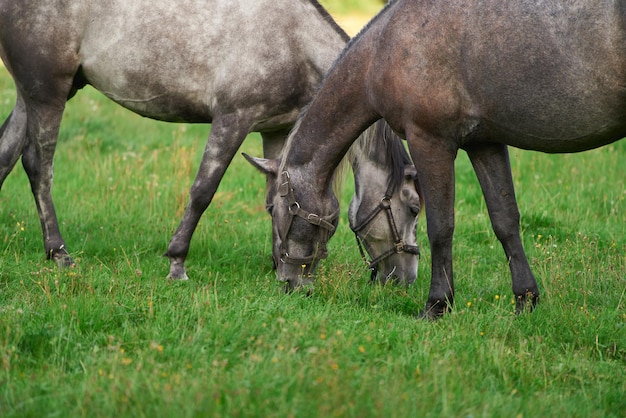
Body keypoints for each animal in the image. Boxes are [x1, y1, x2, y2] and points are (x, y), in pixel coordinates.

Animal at [0, 0, 420, 284]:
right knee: (39, 166)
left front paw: (275, 260)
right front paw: (177, 263)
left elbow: (274, 200)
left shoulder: (276, 132)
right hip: (47, 94)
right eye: (414, 208)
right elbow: (203, 191)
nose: (405, 278)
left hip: (34, 95)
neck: (290, 40)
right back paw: (59, 253)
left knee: (6, 154)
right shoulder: (232, 121)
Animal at [254, 0, 624, 318]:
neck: (384, 48)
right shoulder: (485, 144)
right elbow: (505, 220)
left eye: (281, 211)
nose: (288, 282)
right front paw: (525, 300)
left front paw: (437, 304)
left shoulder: (430, 142)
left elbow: (441, 227)